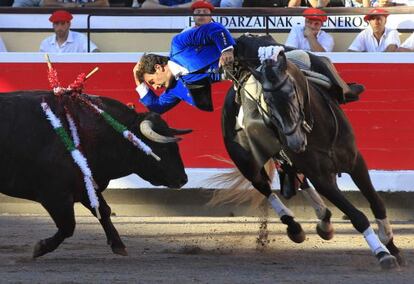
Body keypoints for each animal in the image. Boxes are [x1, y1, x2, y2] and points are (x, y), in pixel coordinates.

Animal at [0, 90, 189, 258]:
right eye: (162, 148)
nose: (183, 179)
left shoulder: (85, 186)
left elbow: (103, 211)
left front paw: (118, 245)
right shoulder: (55, 195)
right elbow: (68, 226)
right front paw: (40, 247)